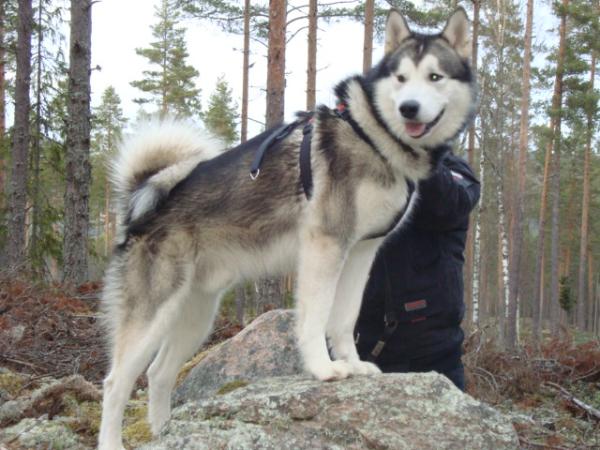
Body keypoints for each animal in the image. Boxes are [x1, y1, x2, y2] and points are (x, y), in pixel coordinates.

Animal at [99, 8, 478, 448]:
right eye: (401, 78)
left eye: (435, 76)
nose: (409, 108)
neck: (373, 136)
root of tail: (139, 210)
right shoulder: (324, 246)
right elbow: (315, 319)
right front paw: (323, 369)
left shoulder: (360, 253)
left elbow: (344, 320)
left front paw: (353, 365)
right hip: (153, 313)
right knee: (115, 383)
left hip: (196, 314)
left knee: (159, 373)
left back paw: (164, 431)